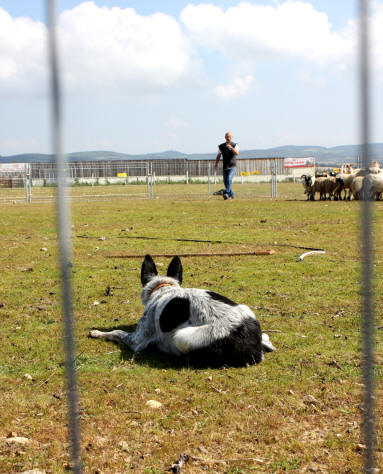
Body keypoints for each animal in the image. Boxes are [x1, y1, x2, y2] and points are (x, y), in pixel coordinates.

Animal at [90, 256, 276, 366]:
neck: (164, 288)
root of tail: (256, 350)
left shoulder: (137, 340)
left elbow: (116, 332)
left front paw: (97, 332)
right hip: (247, 309)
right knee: (267, 339)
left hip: (183, 336)